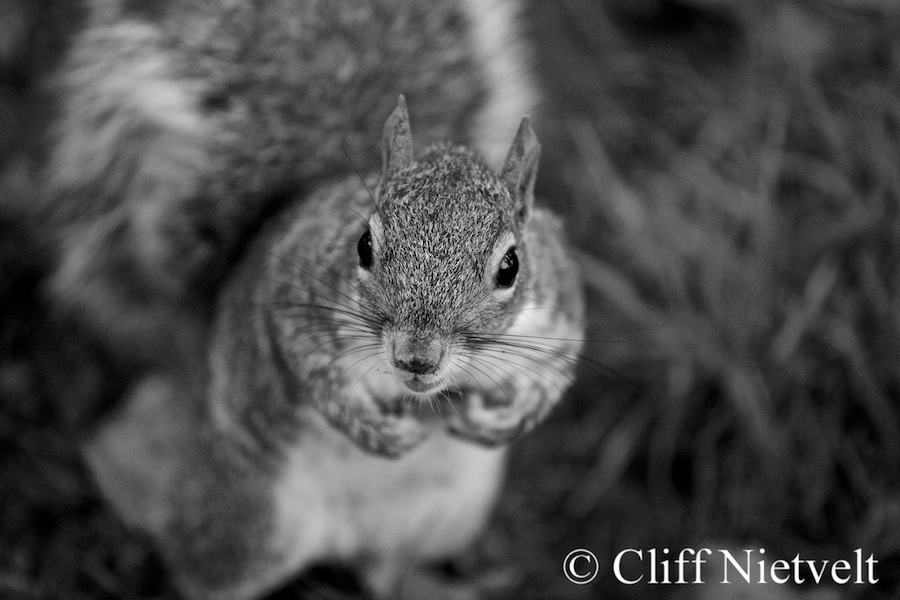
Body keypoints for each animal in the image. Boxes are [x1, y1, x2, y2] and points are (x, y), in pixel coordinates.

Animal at [84, 96, 586, 599]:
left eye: (511, 266)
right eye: (363, 245)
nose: (417, 358)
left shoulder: (561, 314)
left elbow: (553, 376)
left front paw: (503, 423)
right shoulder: (294, 305)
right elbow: (317, 375)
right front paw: (377, 431)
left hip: (450, 516)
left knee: (386, 573)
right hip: (247, 519)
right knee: (198, 568)